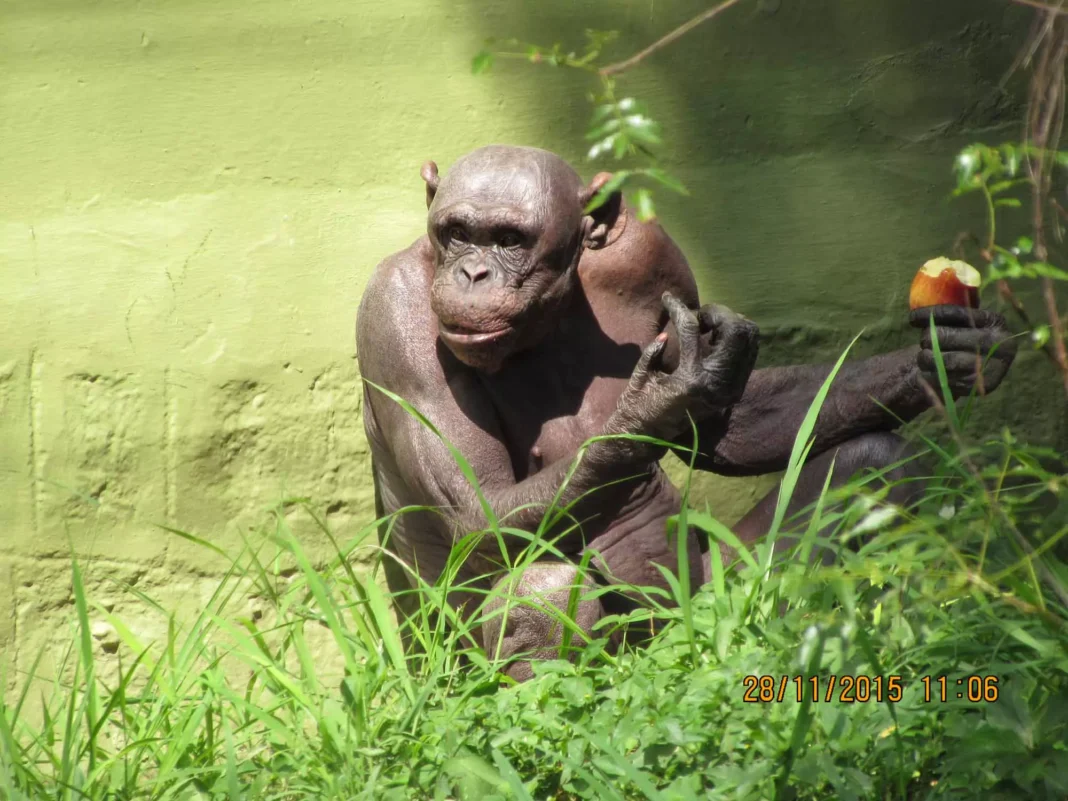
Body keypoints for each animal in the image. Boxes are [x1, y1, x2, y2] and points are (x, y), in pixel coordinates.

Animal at [354, 146, 1012, 683]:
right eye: (457, 232)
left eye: (511, 239)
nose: (473, 272)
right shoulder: (397, 316)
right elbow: (478, 511)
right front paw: (665, 395)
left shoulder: (654, 254)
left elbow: (724, 429)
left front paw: (941, 358)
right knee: (545, 584)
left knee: (874, 460)